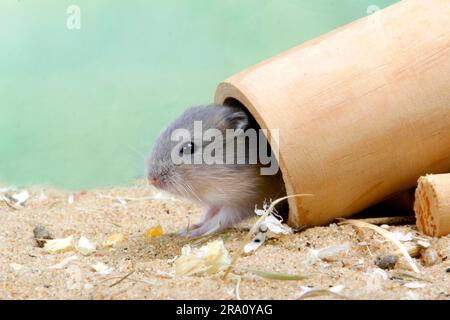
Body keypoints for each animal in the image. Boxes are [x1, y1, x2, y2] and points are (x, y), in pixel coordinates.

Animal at [148, 104, 288, 236]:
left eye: (189, 148)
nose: (151, 179)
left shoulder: (241, 204)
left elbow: (217, 221)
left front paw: (190, 233)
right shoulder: (218, 201)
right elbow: (209, 214)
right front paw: (190, 227)